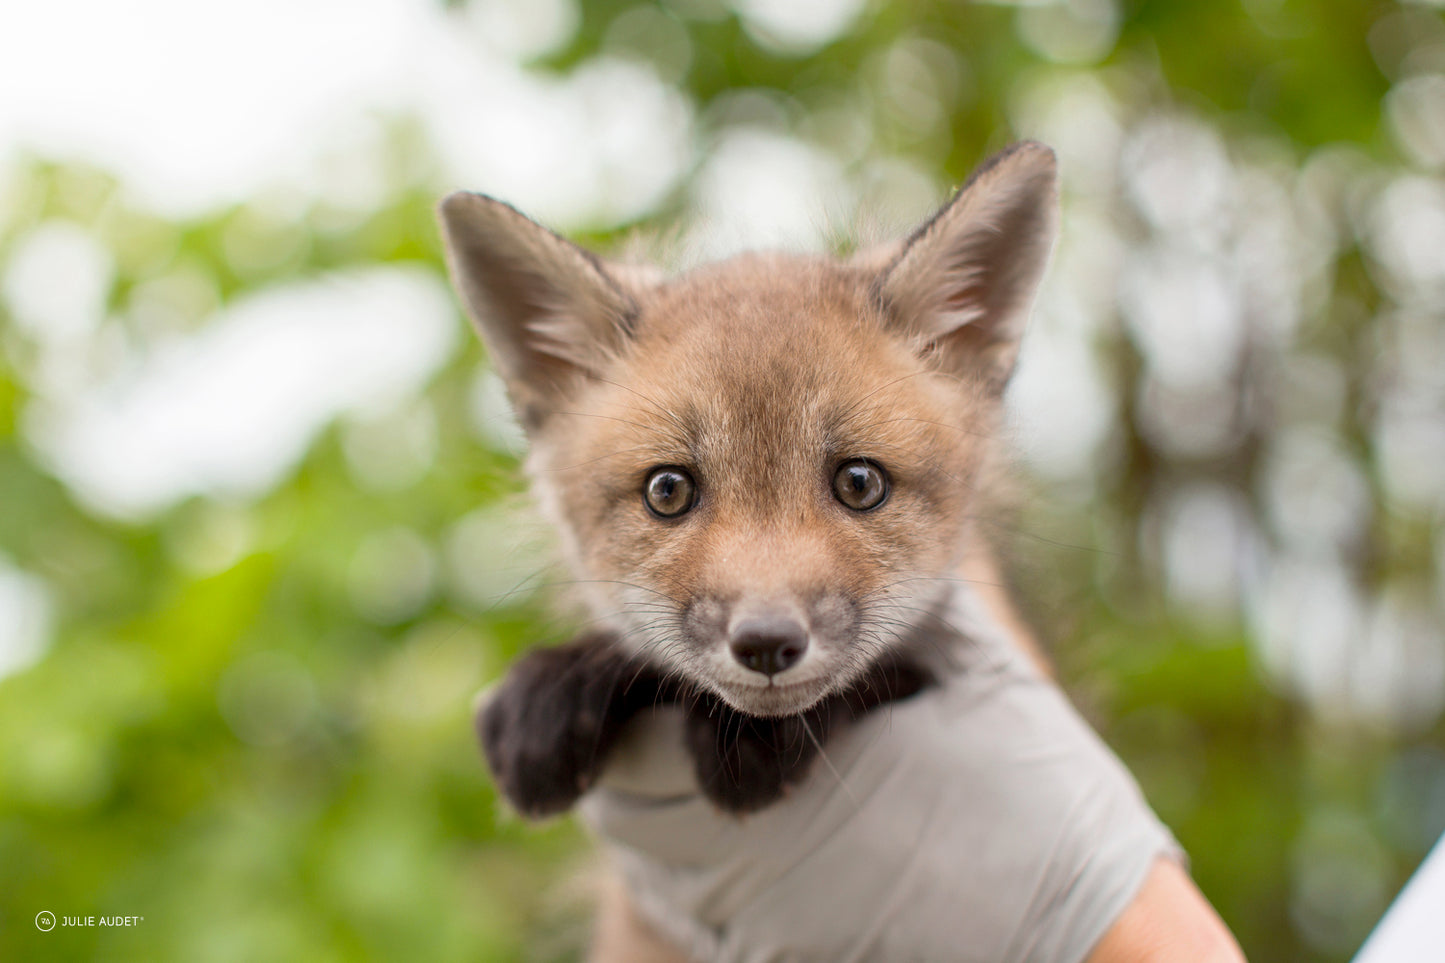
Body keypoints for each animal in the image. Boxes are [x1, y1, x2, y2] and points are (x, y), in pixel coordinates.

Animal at [439, 141, 1060, 956]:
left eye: (859, 482)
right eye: (667, 491)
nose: (766, 643)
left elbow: (898, 664)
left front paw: (755, 749)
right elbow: (635, 657)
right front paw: (550, 695)